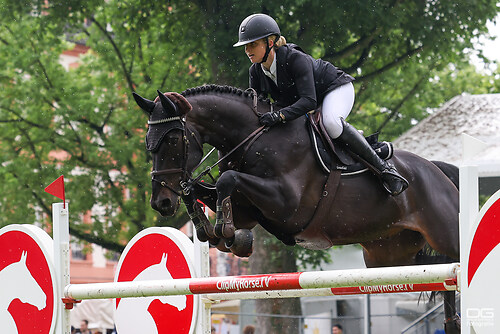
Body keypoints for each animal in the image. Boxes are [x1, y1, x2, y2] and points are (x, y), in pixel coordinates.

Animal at [134, 86, 460, 334]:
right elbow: (204, 193)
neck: (251, 139)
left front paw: (226, 232)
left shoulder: (286, 205)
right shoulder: (248, 212)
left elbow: (228, 180)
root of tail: (438, 170)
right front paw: (218, 234)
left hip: (444, 234)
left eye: (172, 139)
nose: (161, 202)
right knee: (439, 274)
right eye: (148, 143)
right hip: (388, 256)